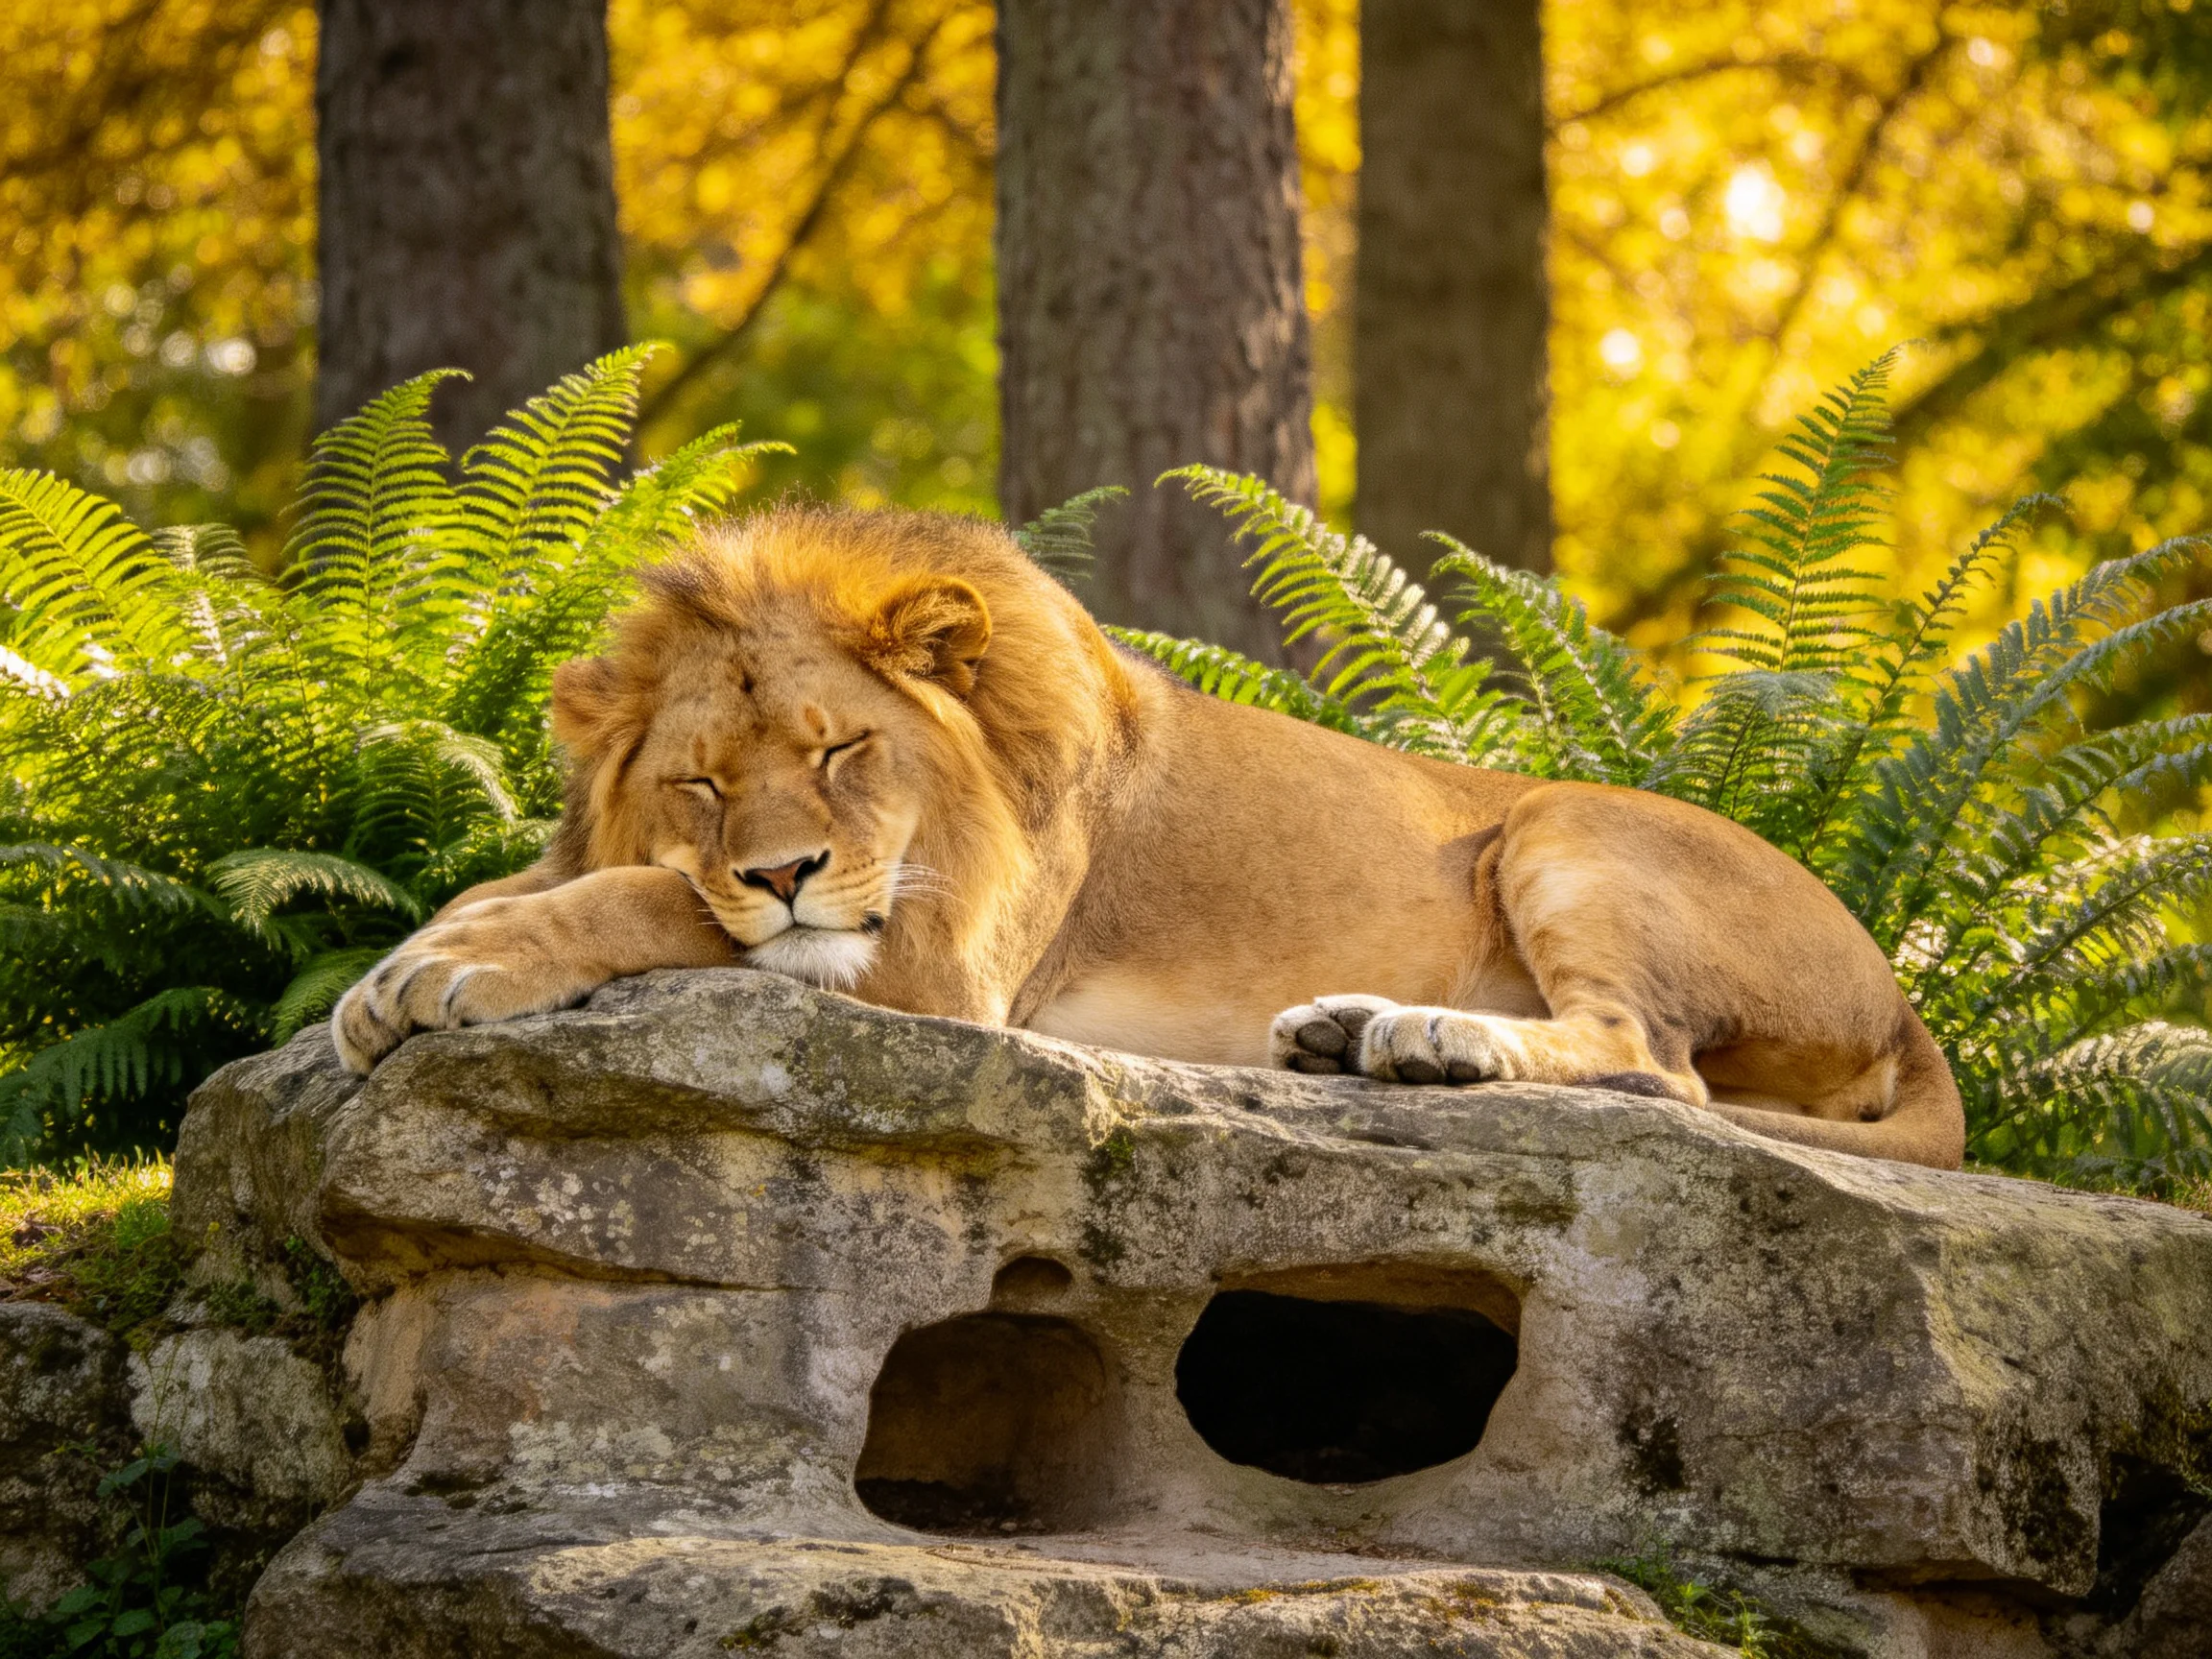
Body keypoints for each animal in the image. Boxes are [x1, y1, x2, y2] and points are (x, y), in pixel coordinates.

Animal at [332, 506, 1966, 1170]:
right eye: (702, 785)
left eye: (840, 750)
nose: (784, 870)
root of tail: (1907, 1004)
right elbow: (568, 874)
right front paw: (407, 956)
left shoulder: (941, 971)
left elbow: (648, 906)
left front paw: (456, 969)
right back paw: (1346, 1034)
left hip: (1561, 820)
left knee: (1653, 1065)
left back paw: (1432, 1042)